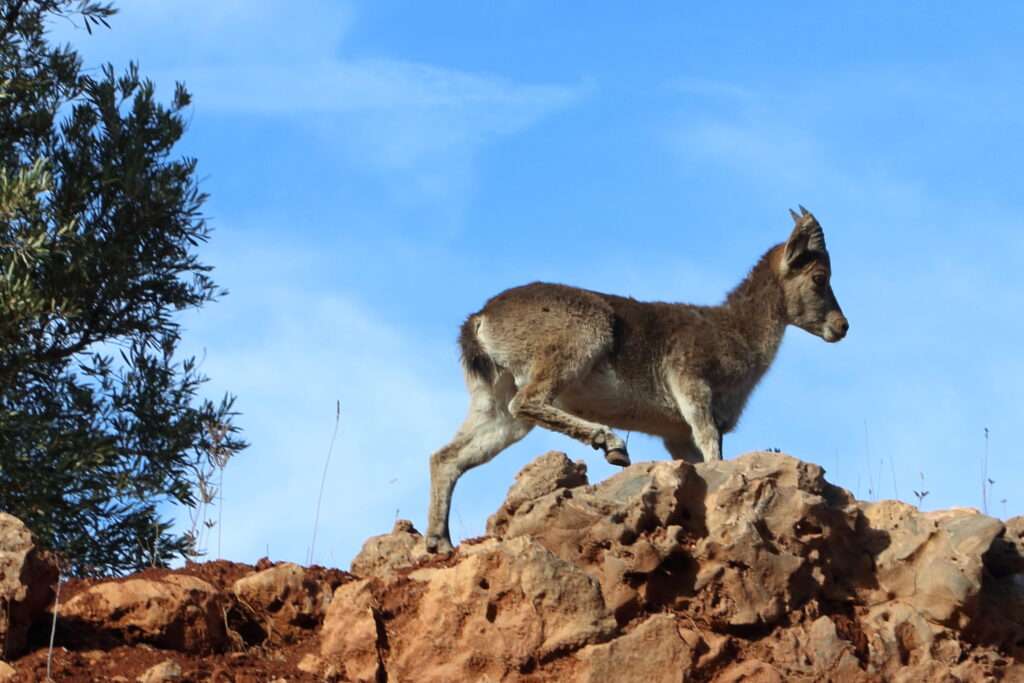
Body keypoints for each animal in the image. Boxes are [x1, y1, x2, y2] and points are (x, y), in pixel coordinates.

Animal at [423, 205, 847, 552]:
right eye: (819, 277)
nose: (842, 327)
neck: (738, 332)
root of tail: (480, 321)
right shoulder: (691, 384)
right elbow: (710, 443)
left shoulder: (675, 435)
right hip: (577, 342)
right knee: (528, 401)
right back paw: (611, 444)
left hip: (494, 405)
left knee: (448, 456)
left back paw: (438, 541)